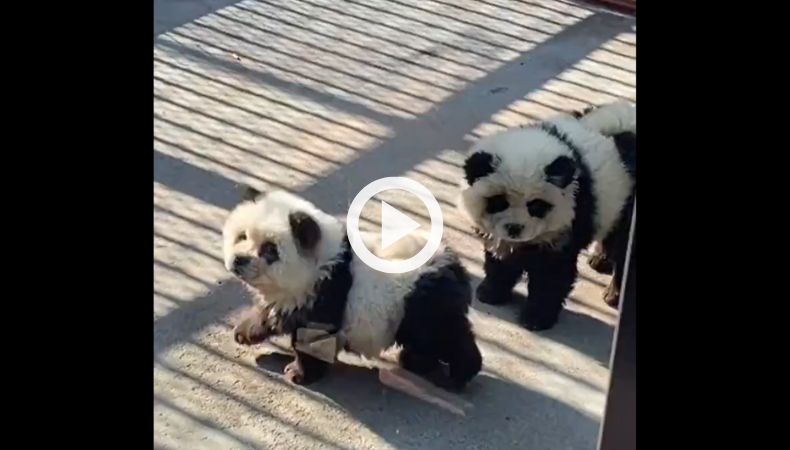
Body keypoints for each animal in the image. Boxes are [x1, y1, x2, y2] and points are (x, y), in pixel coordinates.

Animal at [223, 187, 482, 391]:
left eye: (269, 249)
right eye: (241, 236)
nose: (239, 260)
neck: (323, 261)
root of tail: (453, 264)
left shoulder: (326, 294)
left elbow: (313, 339)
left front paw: (299, 373)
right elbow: (274, 311)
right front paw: (245, 331)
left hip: (423, 302)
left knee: (444, 336)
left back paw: (461, 374)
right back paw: (417, 362)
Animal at [458, 101, 636, 331]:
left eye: (536, 205)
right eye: (499, 201)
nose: (514, 228)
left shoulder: (569, 222)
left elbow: (551, 275)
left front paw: (536, 318)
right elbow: (501, 259)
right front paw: (490, 292)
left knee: (624, 246)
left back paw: (613, 294)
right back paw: (600, 259)